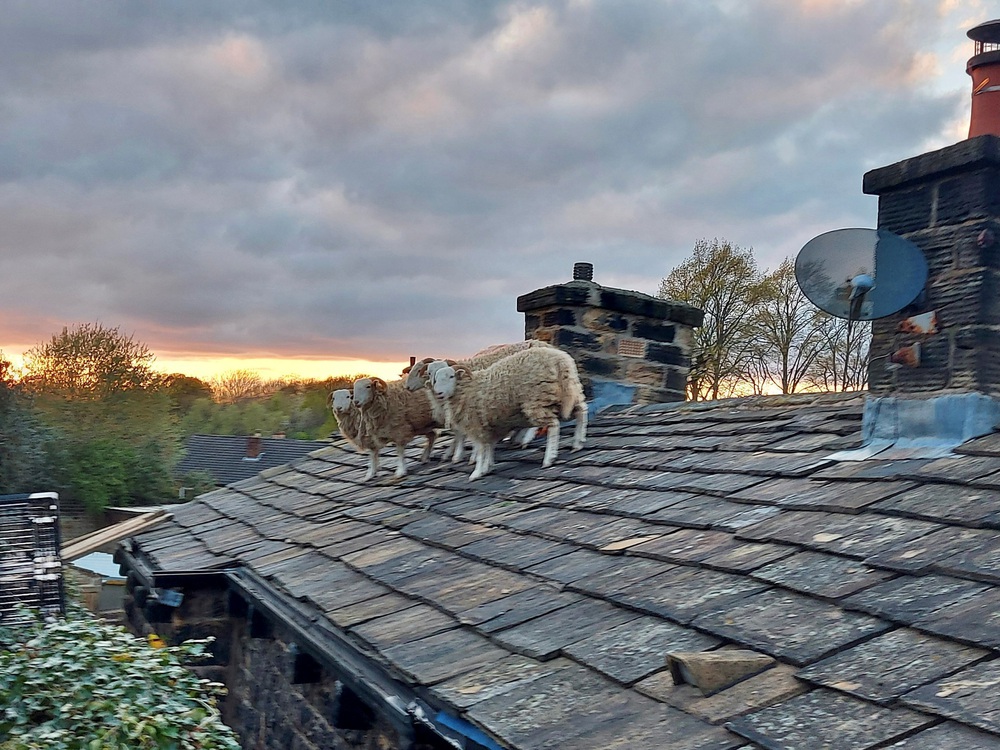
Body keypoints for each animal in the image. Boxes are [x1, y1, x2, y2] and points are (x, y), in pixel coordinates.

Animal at [430, 346, 584, 482]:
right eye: (435, 378)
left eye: (451, 376)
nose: (438, 393)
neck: (466, 388)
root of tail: (559, 359)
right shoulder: (490, 426)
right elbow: (488, 447)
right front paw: (487, 467)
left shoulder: (477, 424)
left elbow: (481, 450)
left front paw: (477, 472)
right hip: (567, 392)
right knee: (581, 410)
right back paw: (578, 443)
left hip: (537, 399)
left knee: (553, 425)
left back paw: (549, 458)